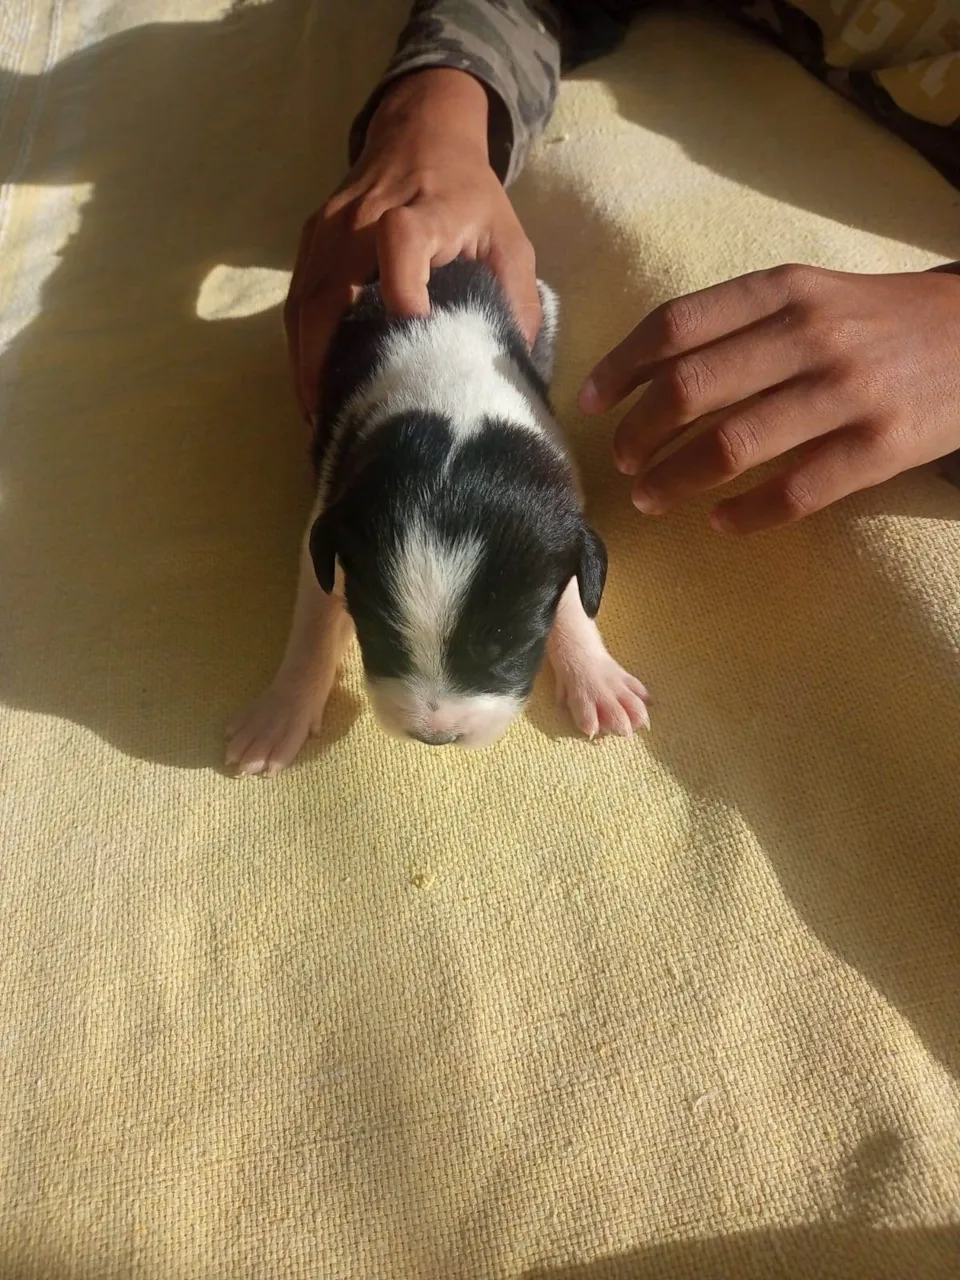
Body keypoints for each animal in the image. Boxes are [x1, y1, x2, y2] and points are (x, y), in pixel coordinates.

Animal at [226, 259, 650, 775]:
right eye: (378, 637)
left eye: (509, 648)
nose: (435, 737)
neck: (452, 402)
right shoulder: (329, 523)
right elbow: (315, 624)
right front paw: (281, 712)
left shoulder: (558, 514)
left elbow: (572, 598)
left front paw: (596, 678)